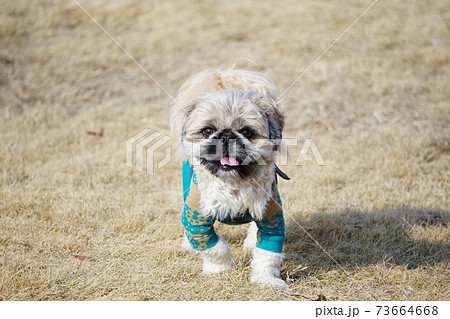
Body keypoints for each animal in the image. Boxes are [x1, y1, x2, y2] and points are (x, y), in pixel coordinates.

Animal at [171, 67, 290, 290]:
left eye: (247, 132)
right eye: (208, 131)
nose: (226, 136)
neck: (233, 183)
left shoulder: (272, 218)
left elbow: (268, 256)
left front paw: (266, 280)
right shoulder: (196, 219)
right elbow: (214, 249)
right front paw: (220, 270)